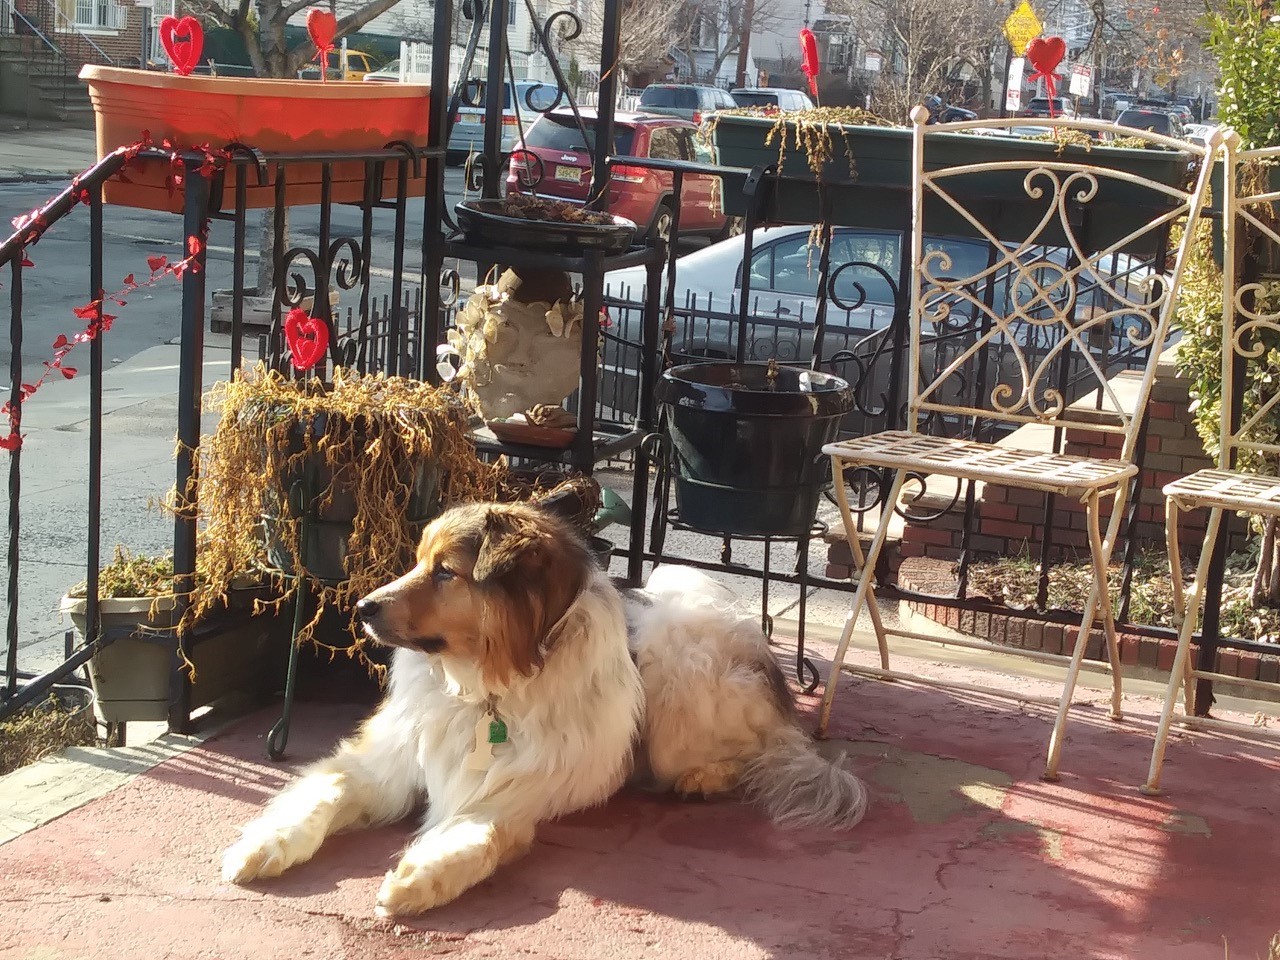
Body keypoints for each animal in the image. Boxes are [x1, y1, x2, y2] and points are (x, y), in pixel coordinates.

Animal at [222, 504, 870, 916]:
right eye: (417, 561)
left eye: (445, 572)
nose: (362, 608)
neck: (486, 687)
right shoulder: (376, 764)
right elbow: (319, 796)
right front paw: (260, 847)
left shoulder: (516, 795)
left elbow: (479, 836)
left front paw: (420, 880)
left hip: (677, 671)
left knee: (748, 754)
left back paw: (704, 777)